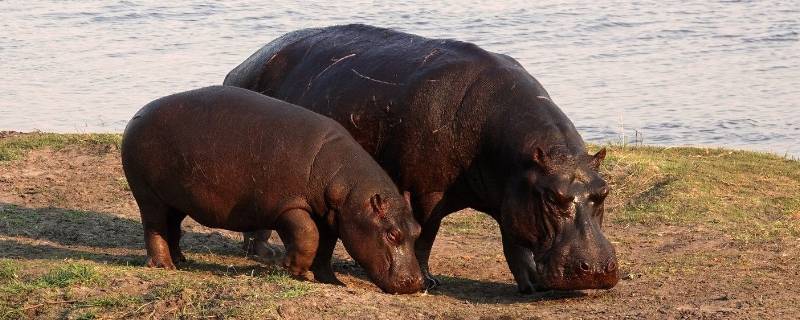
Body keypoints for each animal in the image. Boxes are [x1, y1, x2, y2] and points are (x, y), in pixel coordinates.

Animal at [119, 85, 424, 296]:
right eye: (392, 234)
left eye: (417, 229)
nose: (417, 282)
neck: (346, 189)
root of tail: (136, 115)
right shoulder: (289, 206)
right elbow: (308, 235)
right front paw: (293, 270)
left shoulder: (330, 217)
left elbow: (325, 247)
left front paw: (330, 280)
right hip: (149, 196)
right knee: (154, 228)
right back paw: (164, 266)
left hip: (176, 200)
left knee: (172, 226)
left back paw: (181, 260)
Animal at [223, 23, 620, 292]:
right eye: (553, 197)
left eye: (603, 192)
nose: (598, 270)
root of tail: (240, 66)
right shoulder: (429, 190)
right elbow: (427, 232)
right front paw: (428, 280)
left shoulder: (513, 194)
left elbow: (514, 239)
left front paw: (530, 285)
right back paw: (261, 253)